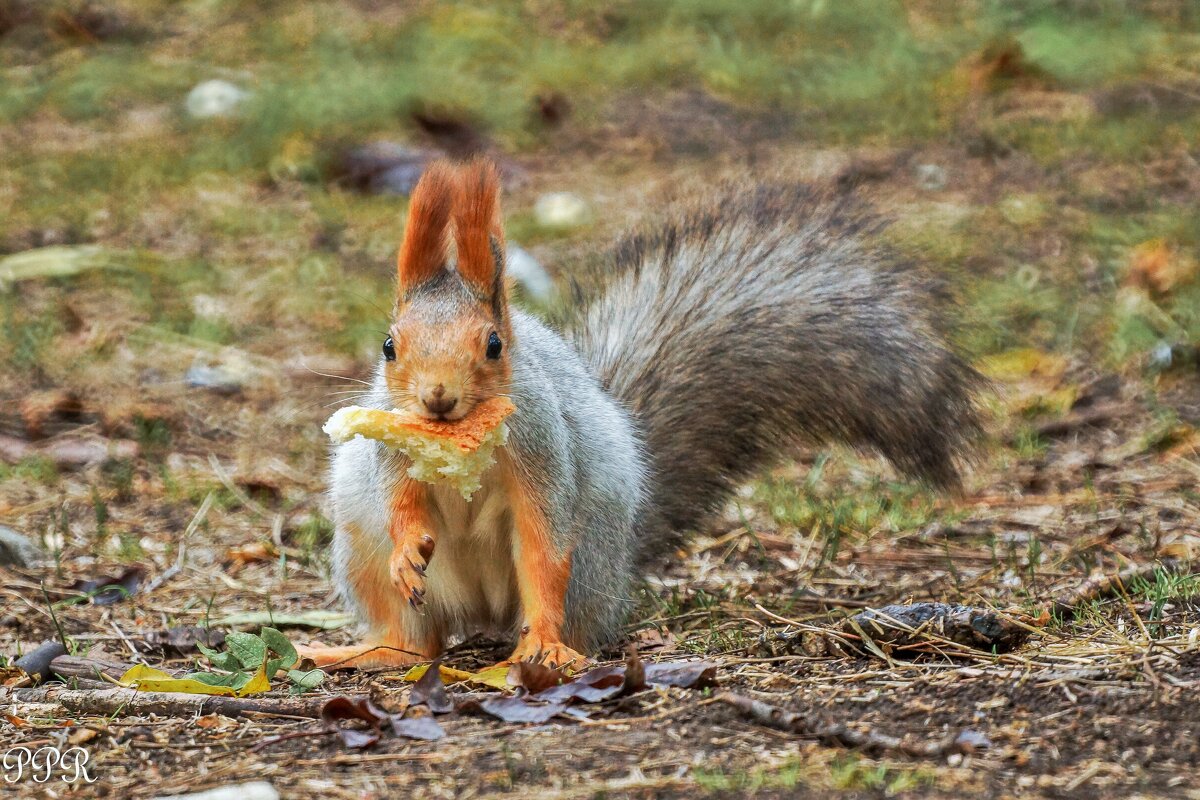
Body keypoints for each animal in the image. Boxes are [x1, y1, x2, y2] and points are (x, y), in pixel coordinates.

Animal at [297, 155, 974, 671]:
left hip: (591, 568)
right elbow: (402, 504)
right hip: (360, 555)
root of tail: (484, 615)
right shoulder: (393, 452)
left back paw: (547, 648)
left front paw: (546, 643)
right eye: (389, 346)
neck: (462, 441)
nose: (437, 398)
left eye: (493, 344)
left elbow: (543, 544)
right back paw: (368, 650)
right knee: (415, 640)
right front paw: (408, 547)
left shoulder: (544, 447)